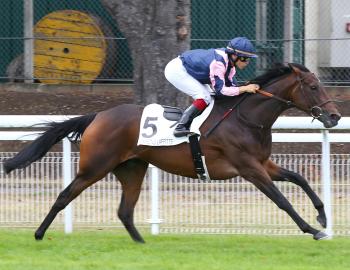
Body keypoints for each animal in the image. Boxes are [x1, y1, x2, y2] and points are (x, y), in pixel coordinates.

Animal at [4, 63, 340, 243]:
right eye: (313, 86)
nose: (335, 117)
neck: (246, 118)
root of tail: (98, 116)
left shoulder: (262, 163)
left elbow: (299, 178)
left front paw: (323, 216)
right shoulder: (249, 168)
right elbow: (282, 200)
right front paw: (312, 229)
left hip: (132, 168)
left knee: (124, 211)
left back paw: (142, 244)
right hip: (94, 167)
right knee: (64, 196)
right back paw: (38, 234)